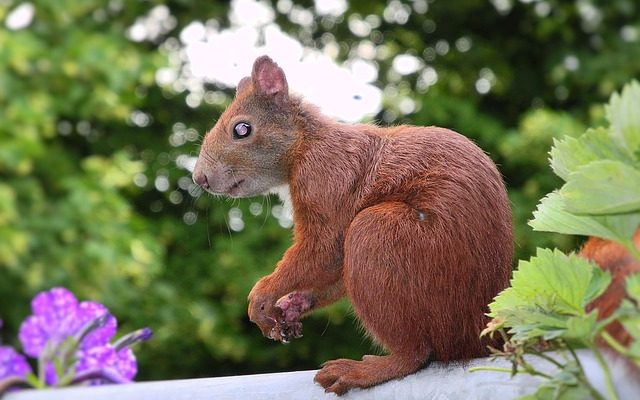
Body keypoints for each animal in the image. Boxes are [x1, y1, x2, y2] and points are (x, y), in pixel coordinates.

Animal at [192, 55, 512, 394]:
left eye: (242, 129)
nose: (200, 178)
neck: (306, 145)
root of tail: (479, 336)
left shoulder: (325, 182)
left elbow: (321, 252)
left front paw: (262, 296)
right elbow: (332, 269)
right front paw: (292, 305)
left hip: (380, 234)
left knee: (415, 354)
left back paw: (362, 370)